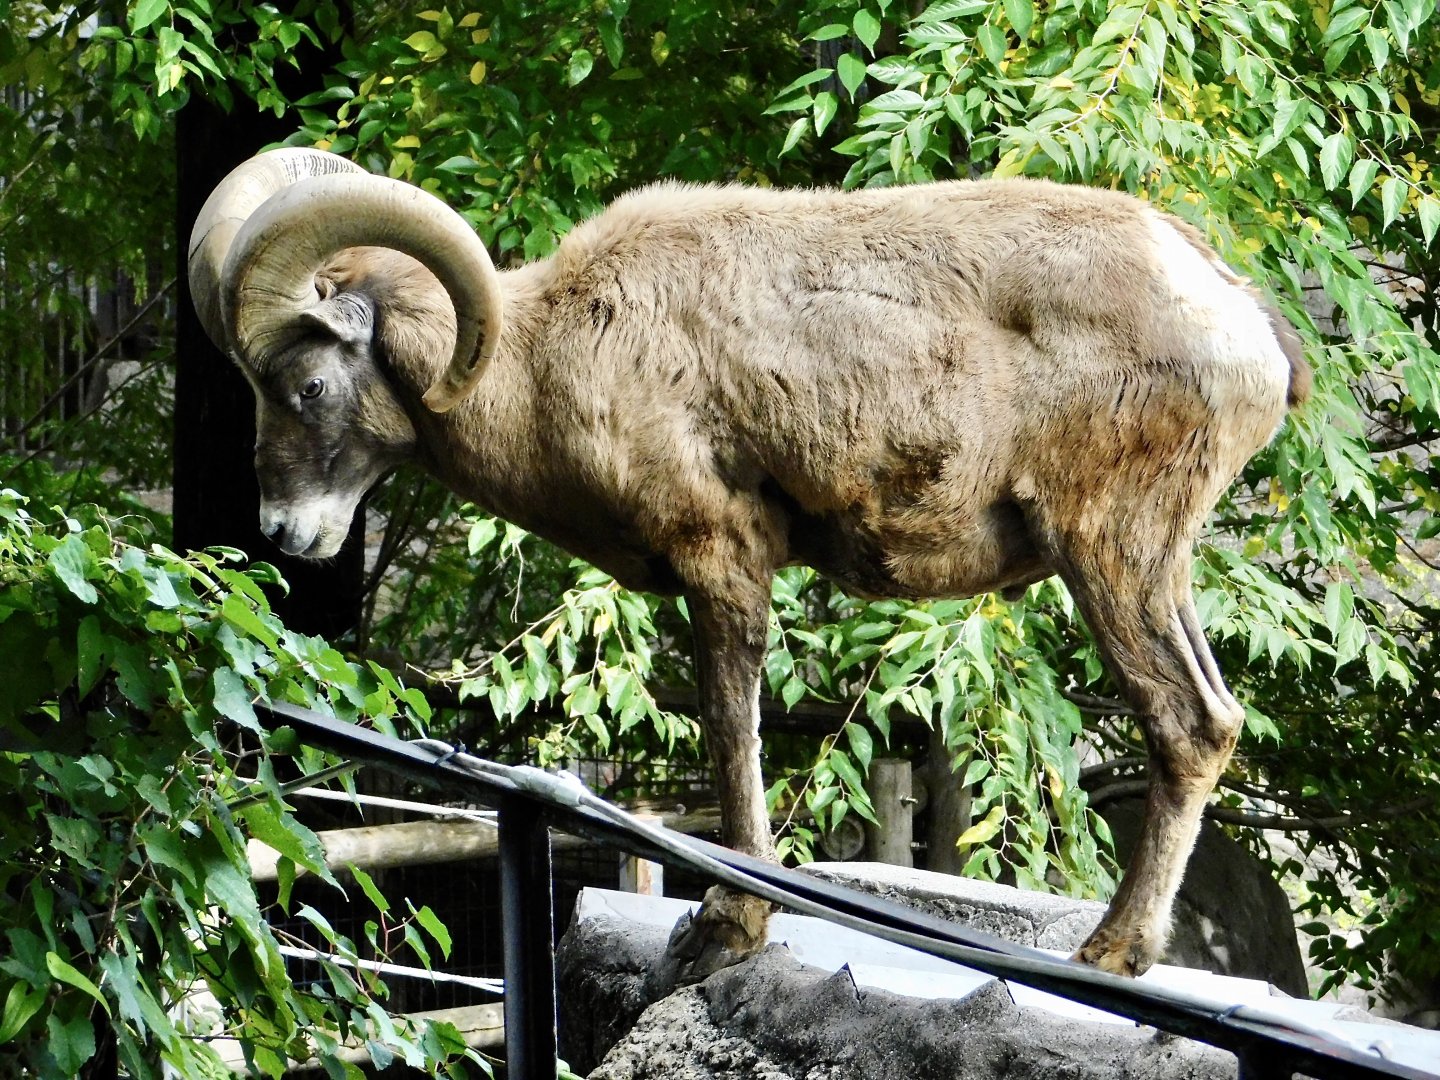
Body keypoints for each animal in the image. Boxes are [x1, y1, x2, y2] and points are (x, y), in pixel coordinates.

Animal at [189, 148, 1308, 980]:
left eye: (307, 384)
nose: (286, 532)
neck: (549, 361)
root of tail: (1240, 320)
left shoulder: (719, 556)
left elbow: (733, 731)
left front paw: (727, 927)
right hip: (1151, 565)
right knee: (1214, 719)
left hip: (1110, 552)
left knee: (1188, 724)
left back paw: (1110, 953)